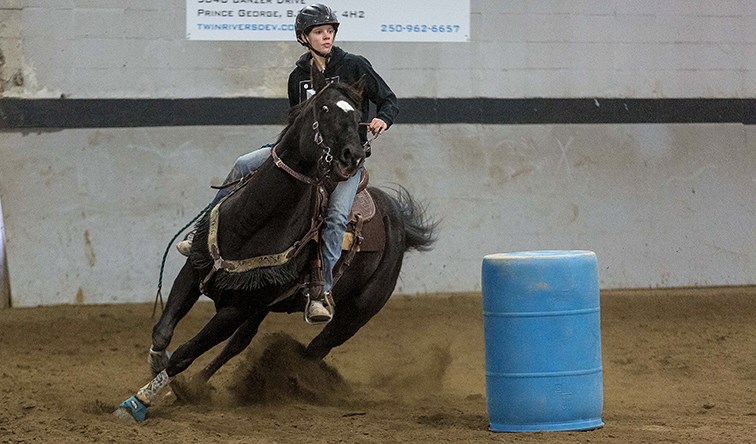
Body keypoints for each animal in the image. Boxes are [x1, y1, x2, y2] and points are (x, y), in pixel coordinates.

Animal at [115, 67, 440, 424]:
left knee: (313, 352)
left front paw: (137, 402)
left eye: (358, 117)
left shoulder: (237, 309)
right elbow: (163, 332)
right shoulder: (197, 271)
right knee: (240, 344)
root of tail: (396, 218)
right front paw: (162, 377)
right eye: (324, 109)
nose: (353, 157)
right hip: (263, 306)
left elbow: (185, 353)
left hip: (357, 313)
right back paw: (197, 386)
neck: (252, 221)